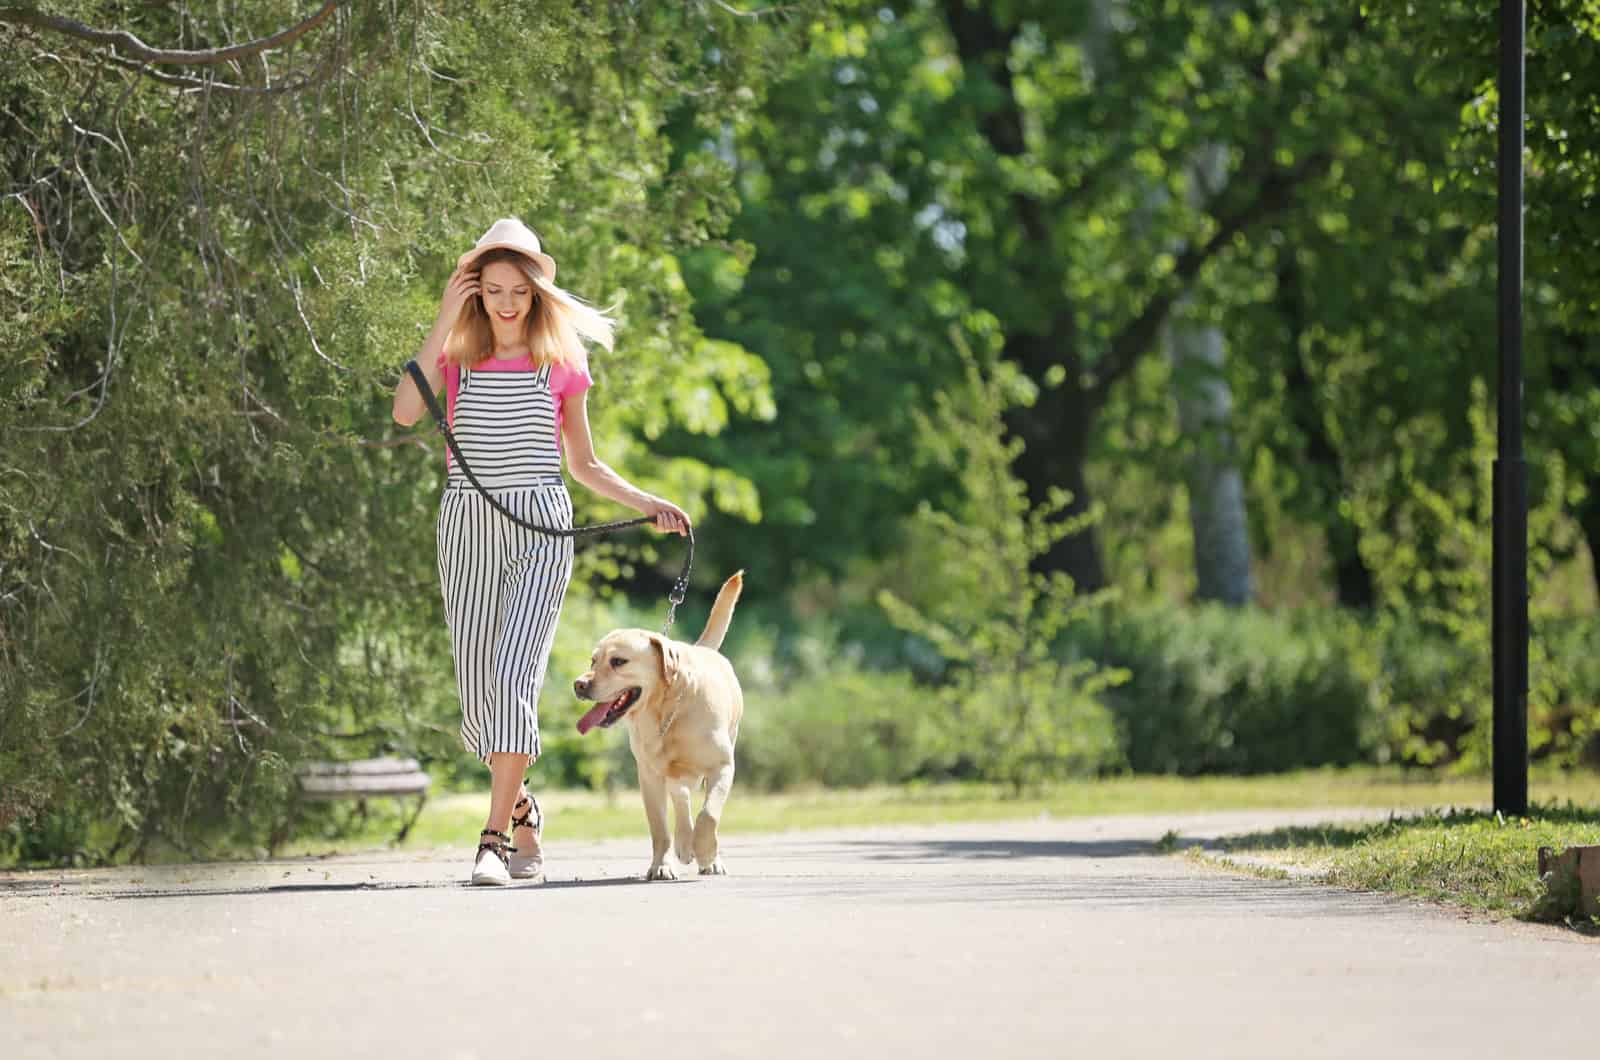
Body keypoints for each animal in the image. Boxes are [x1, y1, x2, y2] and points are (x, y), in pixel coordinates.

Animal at [572, 573, 745, 877]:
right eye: (593, 660)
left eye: (618, 661)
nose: (579, 685)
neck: (665, 711)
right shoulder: (649, 777)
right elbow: (659, 829)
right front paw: (662, 865)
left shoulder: (722, 767)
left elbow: (709, 815)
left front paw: (707, 855)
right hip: (669, 774)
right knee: (681, 798)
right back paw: (684, 844)